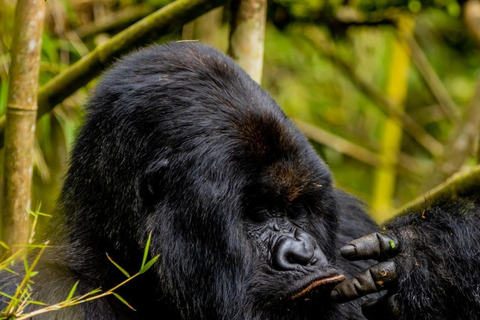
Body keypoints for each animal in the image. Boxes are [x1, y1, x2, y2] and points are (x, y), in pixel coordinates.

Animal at [0, 42, 480, 320]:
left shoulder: (349, 222)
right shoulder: (42, 295)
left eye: (295, 209)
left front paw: (429, 257)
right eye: (258, 212)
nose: (304, 254)